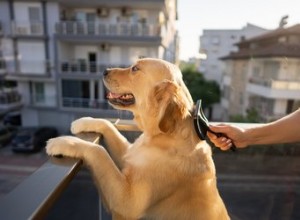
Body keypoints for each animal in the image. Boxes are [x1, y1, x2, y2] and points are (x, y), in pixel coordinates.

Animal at [46, 57, 230, 219]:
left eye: (135, 68)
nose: (104, 71)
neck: (159, 136)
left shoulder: (128, 201)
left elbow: (98, 151)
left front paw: (62, 142)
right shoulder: (129, 154)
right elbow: (108, 125)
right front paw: (83, 121)